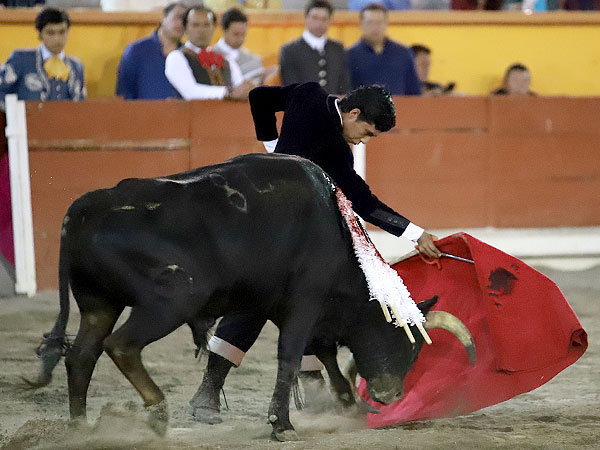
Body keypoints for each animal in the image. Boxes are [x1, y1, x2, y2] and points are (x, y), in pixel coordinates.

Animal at [31, 153, 474, 442]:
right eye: (405, 343)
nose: (390, 394)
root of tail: (84, 207)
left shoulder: (277, 308)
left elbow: (323, 353)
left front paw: (348, 404)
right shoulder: (304, 304)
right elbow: (292, 358)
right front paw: (283, 424)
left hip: (98, 305)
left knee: (82, 355)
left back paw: (81, 427)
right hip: (171, 300)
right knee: (121, 346)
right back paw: (157, 413)